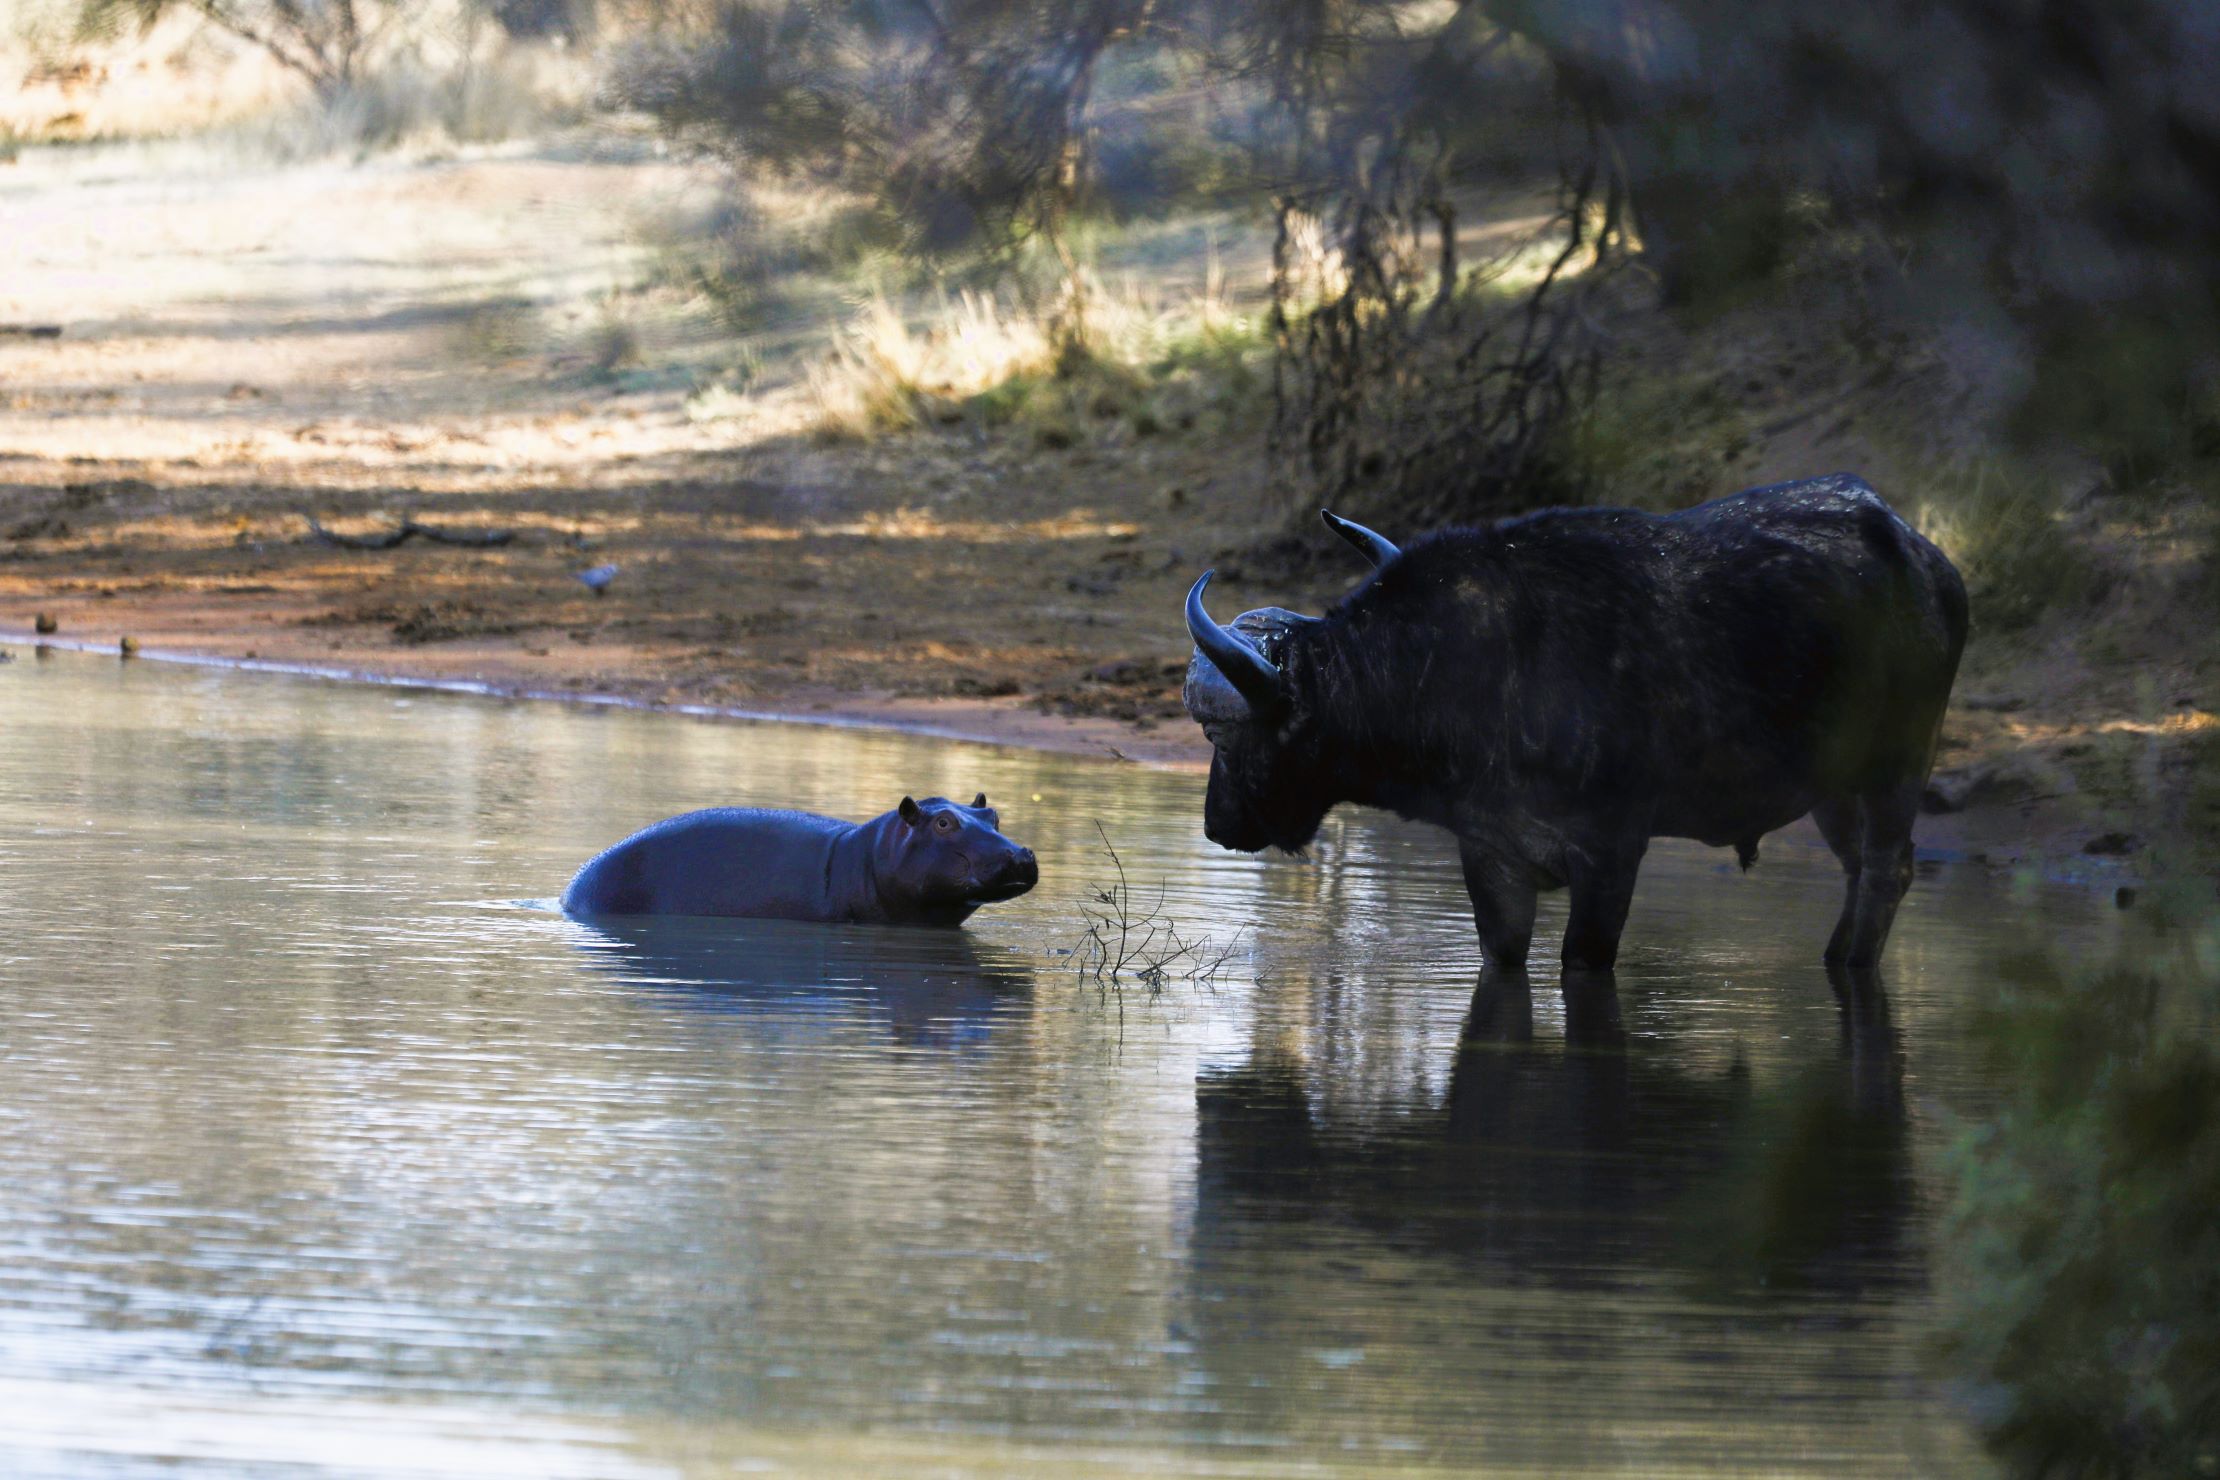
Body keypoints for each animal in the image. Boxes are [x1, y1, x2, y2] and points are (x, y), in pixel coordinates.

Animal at [1182, 474, 1968, 972]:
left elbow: (1584, 959)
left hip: (1901, 763)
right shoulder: (1491, 857)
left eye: (1220, 736)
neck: (1473, 671)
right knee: (1857, 865)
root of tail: (1925, 560)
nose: (1216, 825)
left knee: (1889, 868)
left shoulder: (1610, 854)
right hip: (1833, 787)